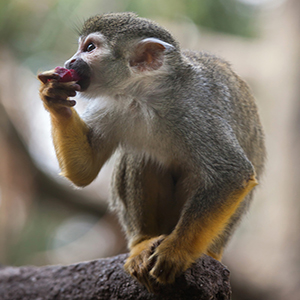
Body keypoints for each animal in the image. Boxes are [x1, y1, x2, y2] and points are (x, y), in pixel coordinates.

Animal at [37, 12, 264, 292]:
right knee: (141, 157)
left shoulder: (196, 107)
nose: (69, 61)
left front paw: (177, 251)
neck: (144, 95)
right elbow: (84, 171)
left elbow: (232, 173)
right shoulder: (110, 105)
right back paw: (142, 243)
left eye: (89, 48)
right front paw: (54, 96)